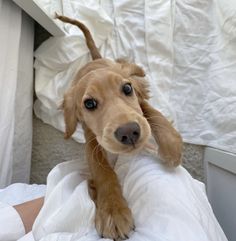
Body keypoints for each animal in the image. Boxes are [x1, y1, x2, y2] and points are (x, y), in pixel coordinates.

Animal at [56, 14, 183, 239]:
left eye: (126, 89)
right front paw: (113, 211)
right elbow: (102, 170)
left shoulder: (138, 98)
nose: (129, 133)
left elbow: (151, 112)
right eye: (89, 104)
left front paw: (172, 145)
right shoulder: (92, 138)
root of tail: (95, 59)